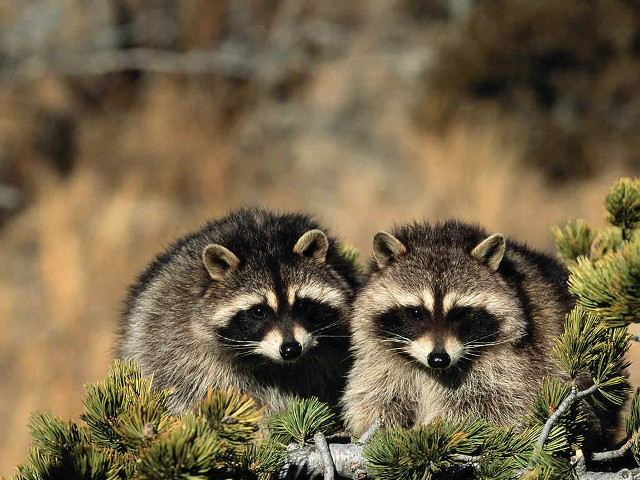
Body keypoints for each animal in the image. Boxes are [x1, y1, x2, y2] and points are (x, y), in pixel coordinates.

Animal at [342, 220, 575, 435]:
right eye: (416, 313)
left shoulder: (514, 364)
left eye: (460, 313)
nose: (438, 359)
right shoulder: (381, 363)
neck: (432, 371)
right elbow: (376, 398)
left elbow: (492, 407)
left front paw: (433, 428)